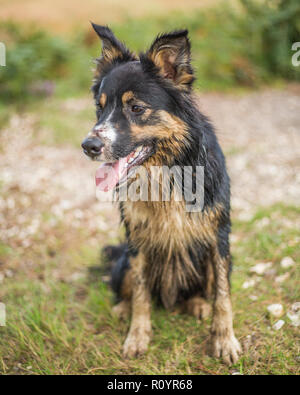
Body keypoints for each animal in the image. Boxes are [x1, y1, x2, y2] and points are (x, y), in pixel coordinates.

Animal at [82, 24, 241, 366]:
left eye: (136, 108)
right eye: (100, 107)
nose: (88, 146)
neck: (166, 169)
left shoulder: (219, 236)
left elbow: (223, 295)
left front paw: (224, 340)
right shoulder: (138, 241)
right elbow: (142, 294)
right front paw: (137, 336)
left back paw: (197, 305)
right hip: (124, 260)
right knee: (127, 289)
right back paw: (122, 309)